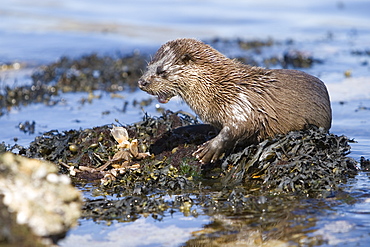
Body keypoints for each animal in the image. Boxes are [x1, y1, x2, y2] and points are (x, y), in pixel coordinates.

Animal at [138, 37, 332, 163]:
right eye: (148, 67)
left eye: (162, 71)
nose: (142, 81)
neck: (217, 86)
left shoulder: (242, 103)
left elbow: (238, 128)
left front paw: (210, 149)